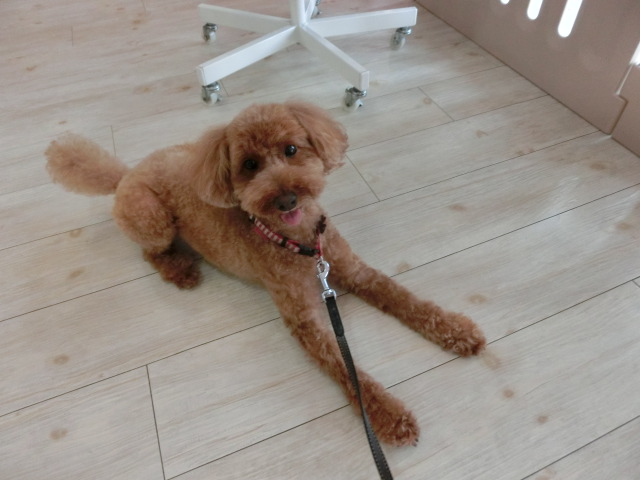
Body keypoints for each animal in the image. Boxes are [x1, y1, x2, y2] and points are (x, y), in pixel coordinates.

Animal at [46, 101, 486, 446]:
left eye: (291, 149)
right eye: (250, 166)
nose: (286, 196)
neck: (301, 244)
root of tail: (125, 174)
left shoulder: (354, 272)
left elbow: (407, 300)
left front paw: (457, 331)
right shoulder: (306, 321)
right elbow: (350, 372)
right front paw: (390, 417)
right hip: (150, 217)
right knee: (150, 251)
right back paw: (180, 269)